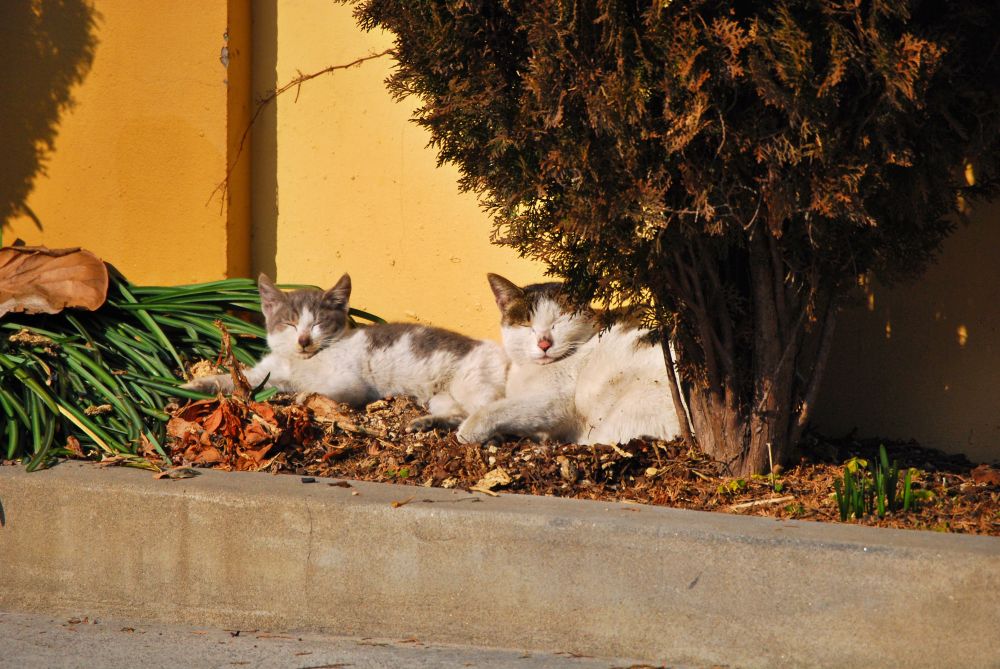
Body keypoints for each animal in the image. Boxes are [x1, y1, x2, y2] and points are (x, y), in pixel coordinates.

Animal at [188, 274, 512, 430]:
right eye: (290, 323)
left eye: (317, 323)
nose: (303, 339)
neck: (302, 363)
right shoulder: (267, 374)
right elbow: (234, 379)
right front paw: (195, 384)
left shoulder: (352, 385)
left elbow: (319, 390)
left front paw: (302, 398)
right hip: (441, 397)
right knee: (459, 413)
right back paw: (426, 422)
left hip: (471, 384)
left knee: (488, 411)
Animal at [458, 274, 680, 446]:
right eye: (526, 325)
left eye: (559, 321)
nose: (544, 343)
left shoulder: (552, 401)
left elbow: (499, 408)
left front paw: (467, 431)